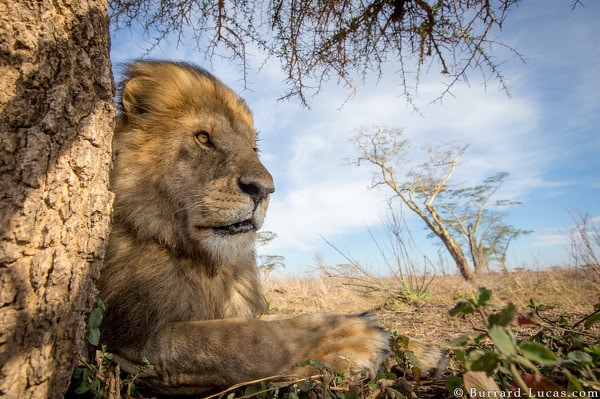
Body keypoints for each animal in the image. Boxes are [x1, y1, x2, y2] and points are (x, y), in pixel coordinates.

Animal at [98, 61, 436, 396]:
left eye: (252, 148)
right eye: (204, 138)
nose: (263, 190)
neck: (203, 263)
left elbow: (275, 319)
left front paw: (419, 349)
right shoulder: (123, 338)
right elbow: (241, 338)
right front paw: (352, 338)